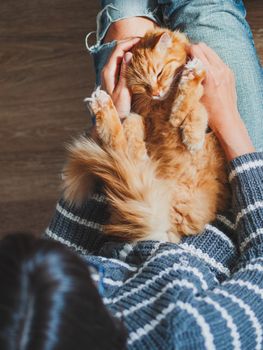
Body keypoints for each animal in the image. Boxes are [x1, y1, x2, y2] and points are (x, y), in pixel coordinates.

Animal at [63, 28, 231, 243]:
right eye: (143, 85)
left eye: (159, 73)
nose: (156, 93)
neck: (162, 104)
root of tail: (169, 228)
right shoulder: (142, 116)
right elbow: (135, 124)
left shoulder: (200, 101)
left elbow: (194, 106)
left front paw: (189, 132)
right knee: (118, 145)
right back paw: (103, 104)